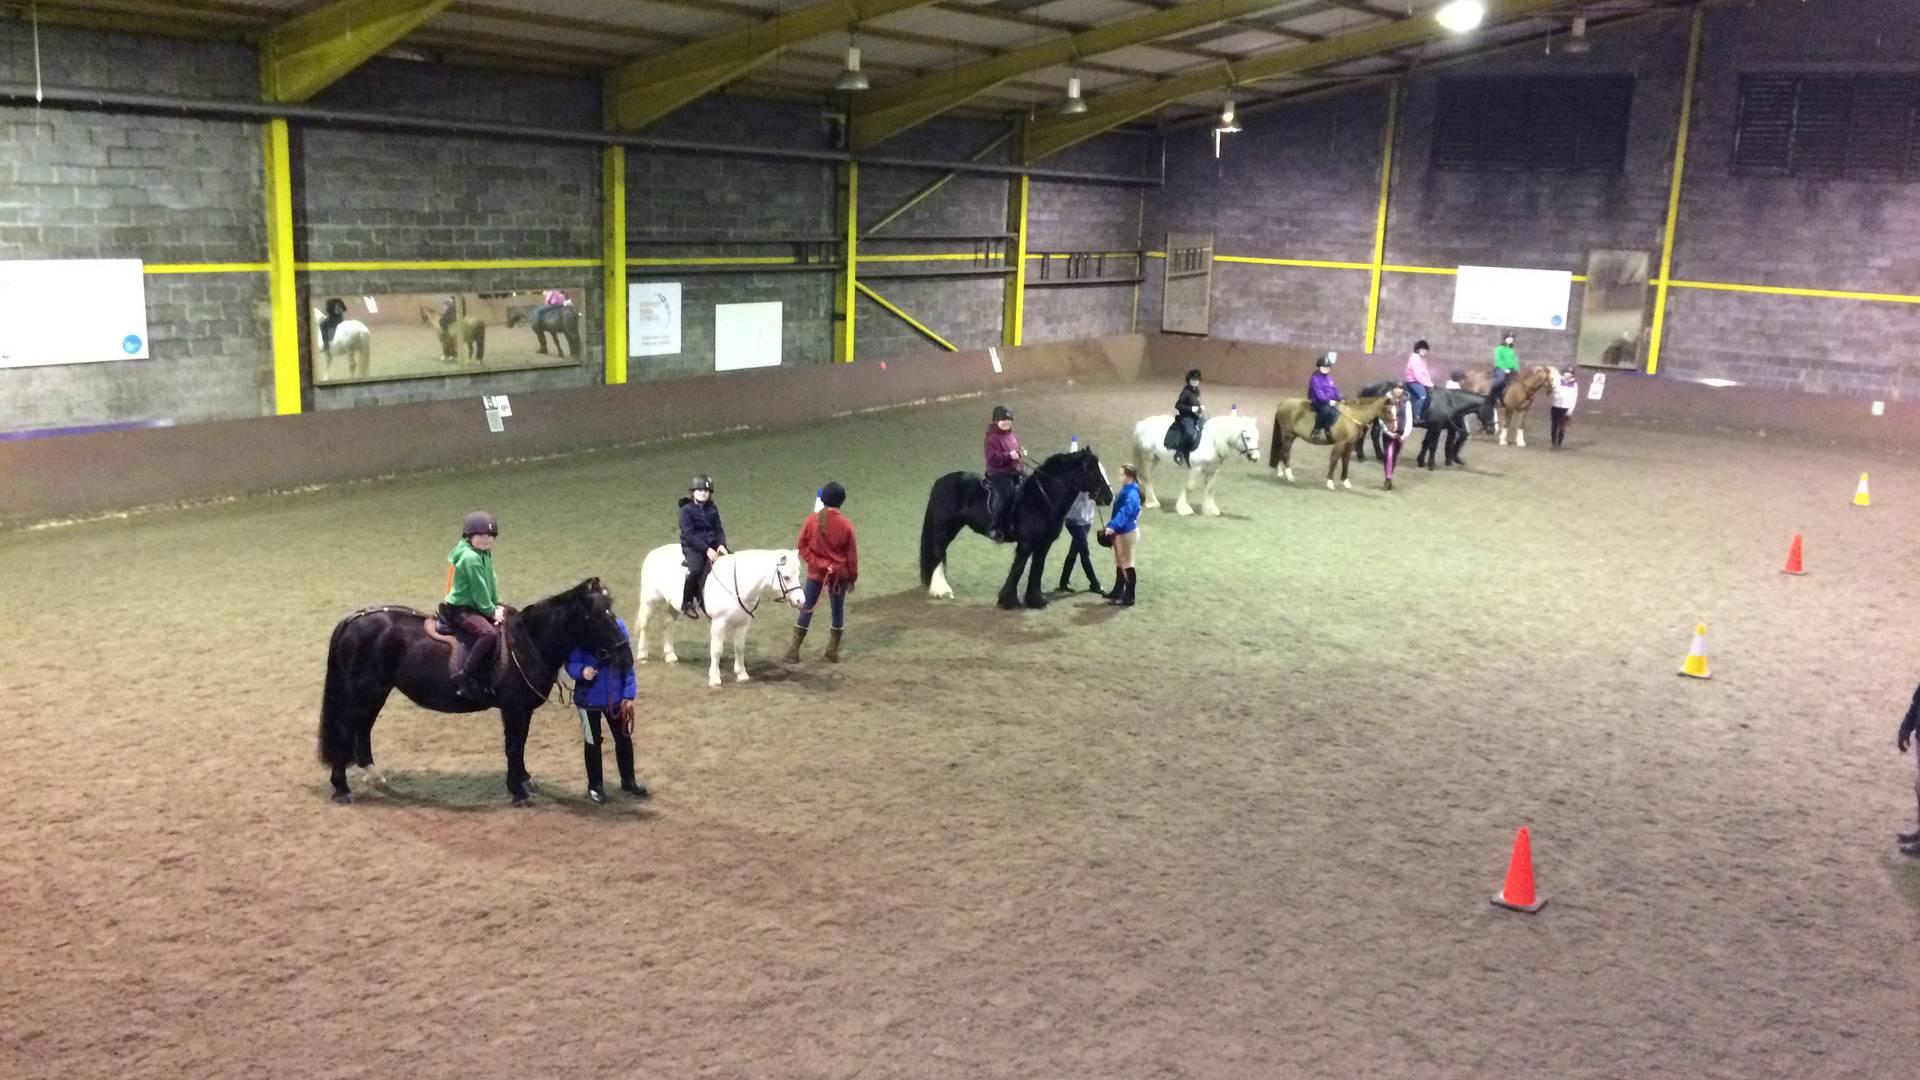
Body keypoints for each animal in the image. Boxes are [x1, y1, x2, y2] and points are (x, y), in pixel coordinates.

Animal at [318, 576, 633, 803]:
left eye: (612, 612)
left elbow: (521, 744)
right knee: (346, 729)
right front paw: (517, 791)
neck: (527, 641)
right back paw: (341, 787)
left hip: (375, 692)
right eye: (598, 617)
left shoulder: (523, 710)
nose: (626, 658)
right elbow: (513, 746)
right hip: (364, 692)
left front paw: (523, 779)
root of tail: (355, 619)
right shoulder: (513, 709)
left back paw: (373, 775)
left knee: (363, 728)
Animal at [633, 541, 806, 684]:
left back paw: (670, 656)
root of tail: (654, 553)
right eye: (786, 577)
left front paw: (742, 674)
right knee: (646, 626)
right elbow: (716, 650)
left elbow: (739, 648)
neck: (738, 583)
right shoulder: (719, 624)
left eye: (798, 574)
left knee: (667, 625)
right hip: (650, 601)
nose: (801, 600)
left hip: (675, 606)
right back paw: (642, 655)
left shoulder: (743, 624)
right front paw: (715, 678)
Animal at [921, 445, 1121, 611]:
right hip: (943, 528)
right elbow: (1019, 567)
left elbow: (1037, 567)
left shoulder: (1043, 544)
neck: (1042, 497)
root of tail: (941, 481)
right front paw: (1008, 600)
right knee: (938, 552)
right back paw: (941, 590)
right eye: (1095, 472)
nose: (1110, 497)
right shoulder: (1026, 543)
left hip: (952, 528)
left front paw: (1036, 600)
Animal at [1121, 409, 1259, 515]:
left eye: (1257, 437)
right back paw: (1152, 503)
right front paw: (1184, 509)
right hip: (1148, 458)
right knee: (1147, 478)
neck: (1212, 441)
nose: (1256, 457)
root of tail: (1142, 424)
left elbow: (1210, 489)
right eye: (1248, 437)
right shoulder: (1196, 469)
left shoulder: (1212, 471)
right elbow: (1190, 487)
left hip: (1155, 459)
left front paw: (1210, 510)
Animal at [1267, 393, 1405, 490]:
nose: (1395, 429)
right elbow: (1334, 460)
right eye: (1388, 411)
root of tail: (1283, 403)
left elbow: (1345, 461)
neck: (1354, 415)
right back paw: (1290, 476)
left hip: (1289, 436)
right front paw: (1330, 482)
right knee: (1285, 452)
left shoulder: (1350, 444)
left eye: (1397, 411)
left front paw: (1345, 481)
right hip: (1288, 435)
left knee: (1281, 451)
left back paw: (1280, 472)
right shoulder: (1340, 443)